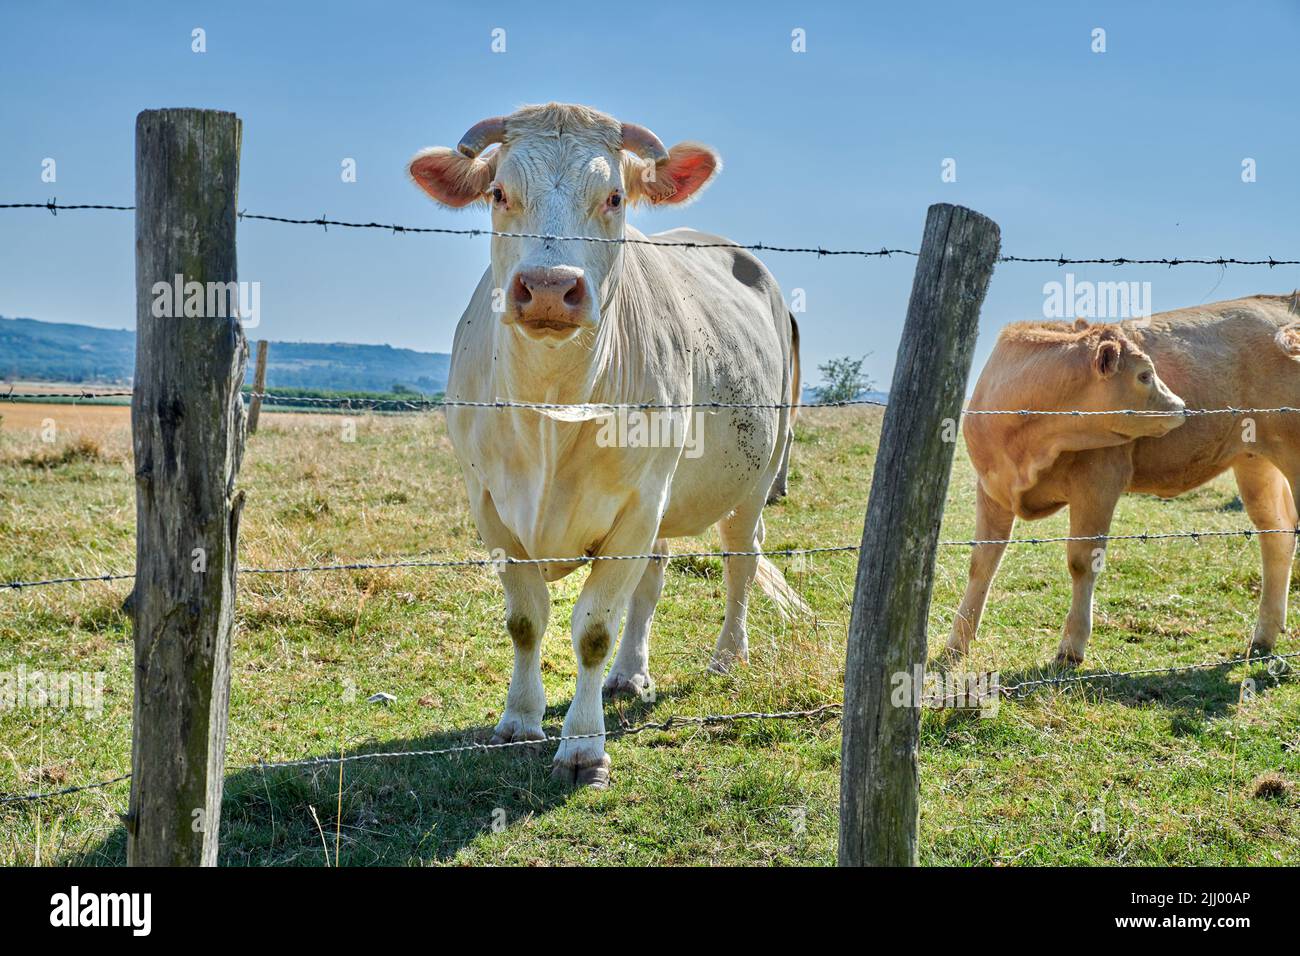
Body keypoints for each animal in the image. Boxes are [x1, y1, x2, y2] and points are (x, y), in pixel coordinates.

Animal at [408, 104, 800, 790]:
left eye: (615, 196)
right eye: (498, 192)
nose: (546, 287)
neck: (551, 413)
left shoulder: (635, 509)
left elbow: (592, 628)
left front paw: (584, 748)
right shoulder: (490, 507)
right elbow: (525, 620)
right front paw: (520, 720)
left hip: (750, 482)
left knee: (741, 563)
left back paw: (728, 656)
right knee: (654, 579)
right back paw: (628, 673)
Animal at [946, 293, 1300, 665]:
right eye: (1144, 375)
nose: (1181, 406)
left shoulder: (1098, 483)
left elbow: (1081, 561)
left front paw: (1071, 648)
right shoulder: (991, 488)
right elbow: (982, 562)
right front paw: (957, 642)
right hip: (1255, 462)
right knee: (1276, 535)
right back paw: (1262, 638)